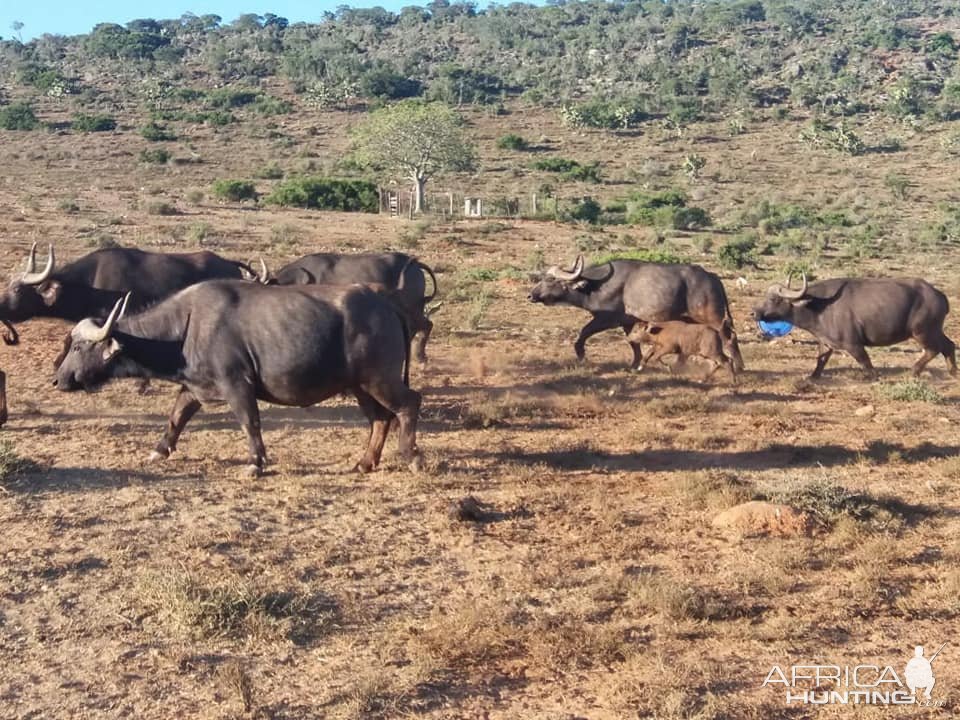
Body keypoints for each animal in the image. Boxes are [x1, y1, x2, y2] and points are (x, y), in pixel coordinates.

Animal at [53, 282, 420, 478]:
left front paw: (255, 464)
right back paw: (364, 462)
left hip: (378, 379)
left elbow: (250, 423)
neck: (186, 327)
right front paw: (159, 451)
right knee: (380, 419)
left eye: (80, 346)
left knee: (408, 404)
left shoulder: (237, 385)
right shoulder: (193, 388)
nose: (58, 380)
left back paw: (411, 455)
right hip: (360, 387)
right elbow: (176, 417)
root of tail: (385, 304)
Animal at [524, 256, 744, 372]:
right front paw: (635, 365)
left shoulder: (606, 319)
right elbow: (634, 344)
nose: (530, 295)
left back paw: (739, 367)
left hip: (714, 318)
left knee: (729, 338)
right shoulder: (628, 323)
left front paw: (581, 357)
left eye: (550, 280)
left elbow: (582, 335)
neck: (594, 286)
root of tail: (713, 277)